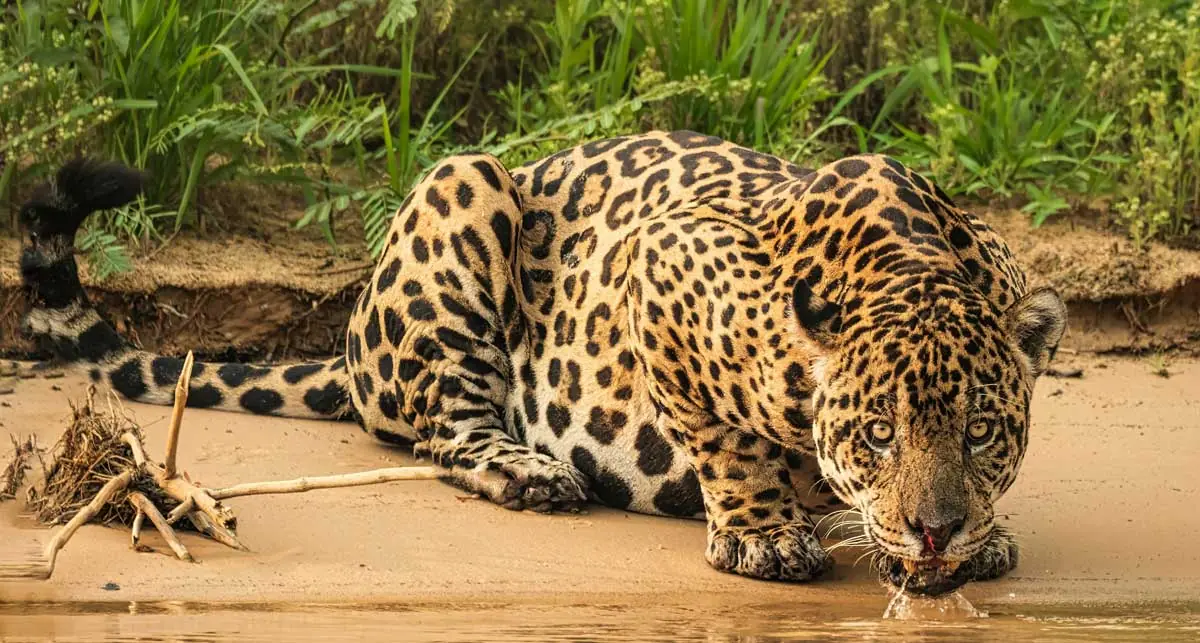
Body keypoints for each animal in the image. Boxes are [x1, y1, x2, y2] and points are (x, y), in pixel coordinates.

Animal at [17, 131, 1066, 596]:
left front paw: (980, 536)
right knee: (446, 430)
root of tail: (351, 338)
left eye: (982, 431)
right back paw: (532, 471)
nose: (935, 530)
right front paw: (765, 534)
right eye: (878, 433)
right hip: (462, 187)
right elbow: (726, 440)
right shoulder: (664, 260)